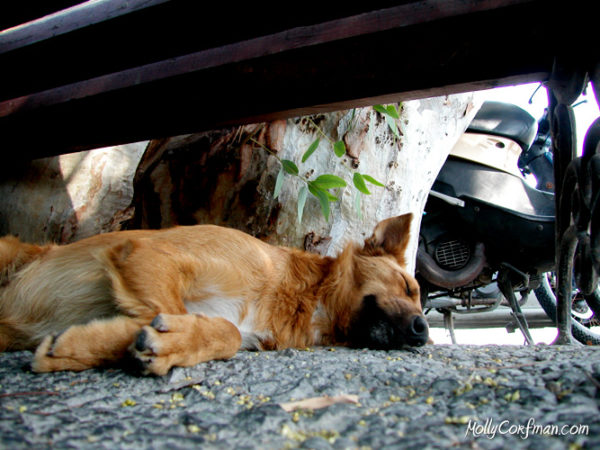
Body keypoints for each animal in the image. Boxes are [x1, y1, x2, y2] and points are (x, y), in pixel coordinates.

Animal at [2, 213, 428, 374]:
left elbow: (228, 333)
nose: (425, 332)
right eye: (409, 287)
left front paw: (81, 345)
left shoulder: (246, 331)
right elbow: (178, 313)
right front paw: (171, 340)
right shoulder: (148, 253)